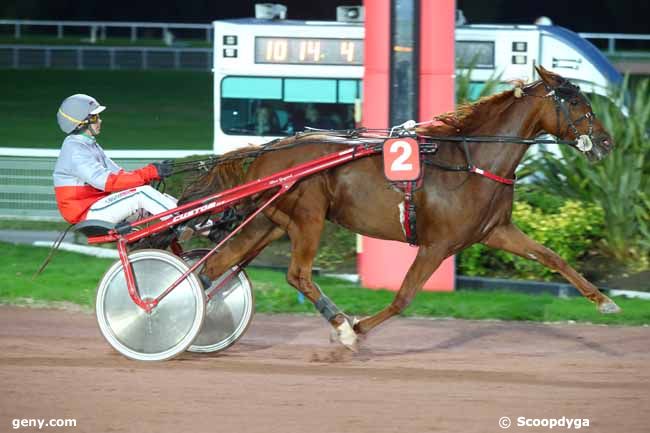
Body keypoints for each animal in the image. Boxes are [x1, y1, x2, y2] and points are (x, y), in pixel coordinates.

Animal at [177, 66, 616, 350]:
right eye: (577, 102)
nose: (608, 142)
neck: (472, 161)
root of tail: (268, 150)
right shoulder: (438, 245)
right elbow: (404, 296)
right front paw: (356, 329)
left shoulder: (496, 232)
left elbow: (552, 257)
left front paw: (603, 301)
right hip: (308, 218)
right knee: (297, 274)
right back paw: (339, 322)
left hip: (270, 222)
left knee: (217, 265)